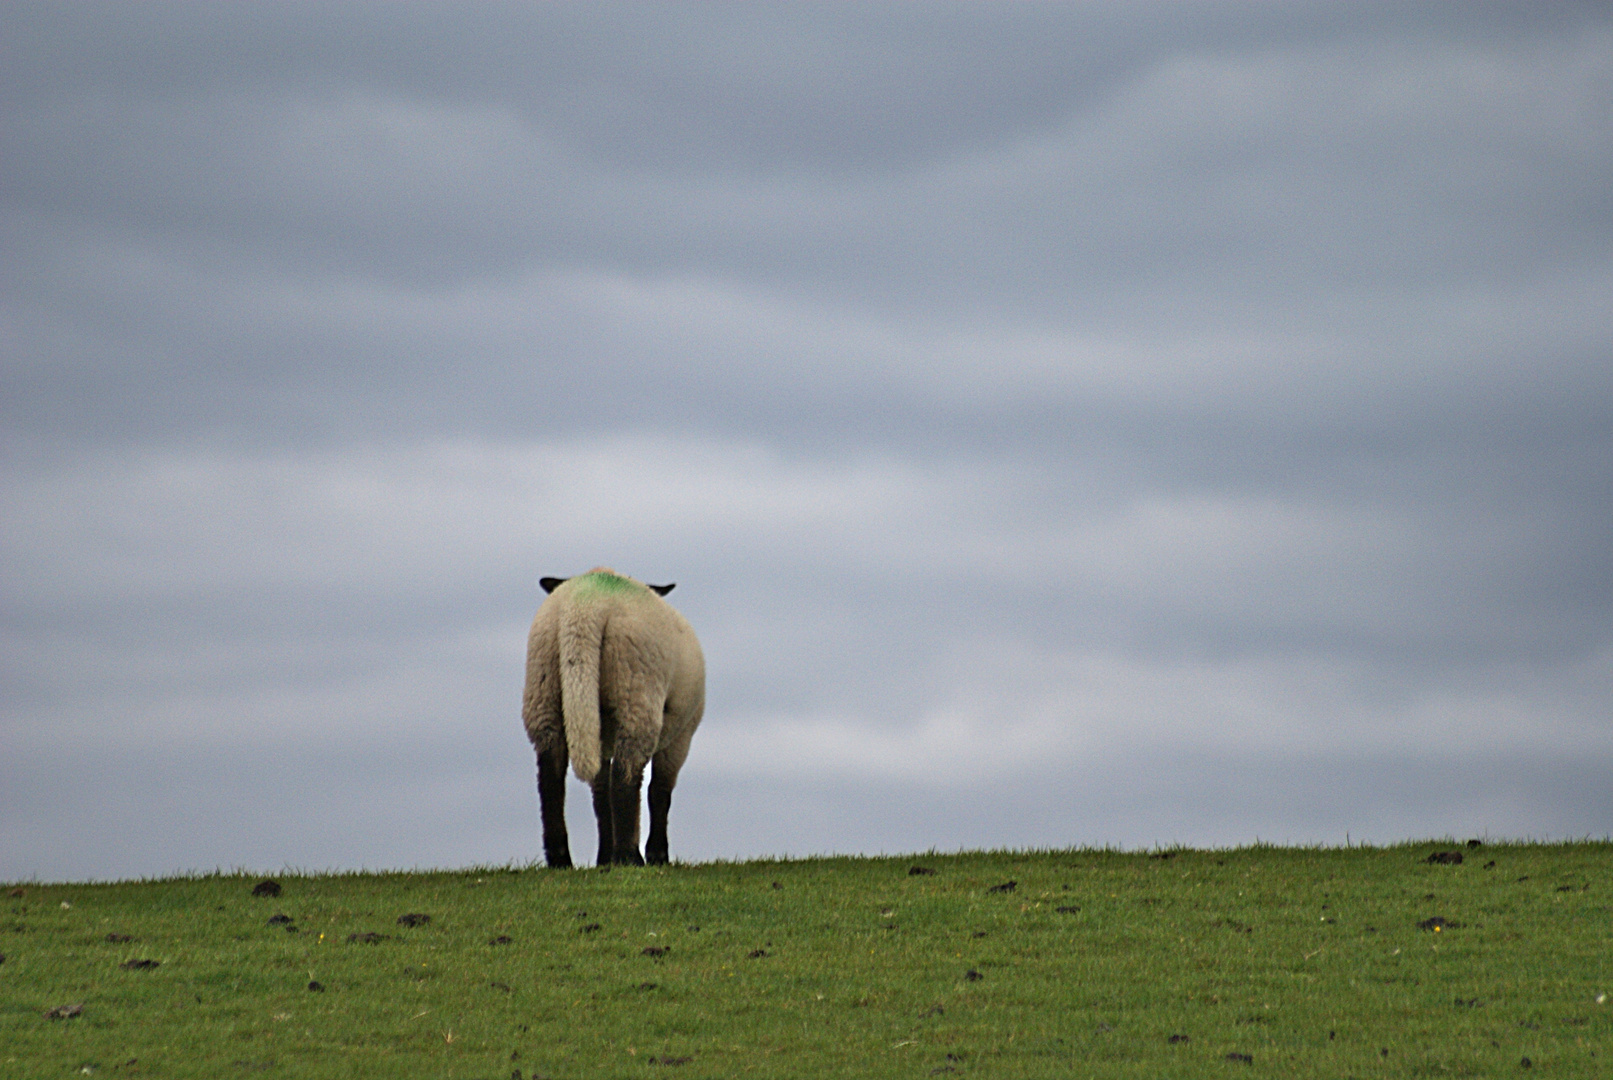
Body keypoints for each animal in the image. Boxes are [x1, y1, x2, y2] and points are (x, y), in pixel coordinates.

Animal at [522, 570, 706, 870]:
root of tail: (586, 605)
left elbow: (600, 795)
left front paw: (603, 858)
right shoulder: (682, 735)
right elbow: (660, 791)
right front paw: (657, 855)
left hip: (544, 688)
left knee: (550, 776)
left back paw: (561, 859)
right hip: (636, 689)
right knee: (626, 776)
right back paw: (629, 857)